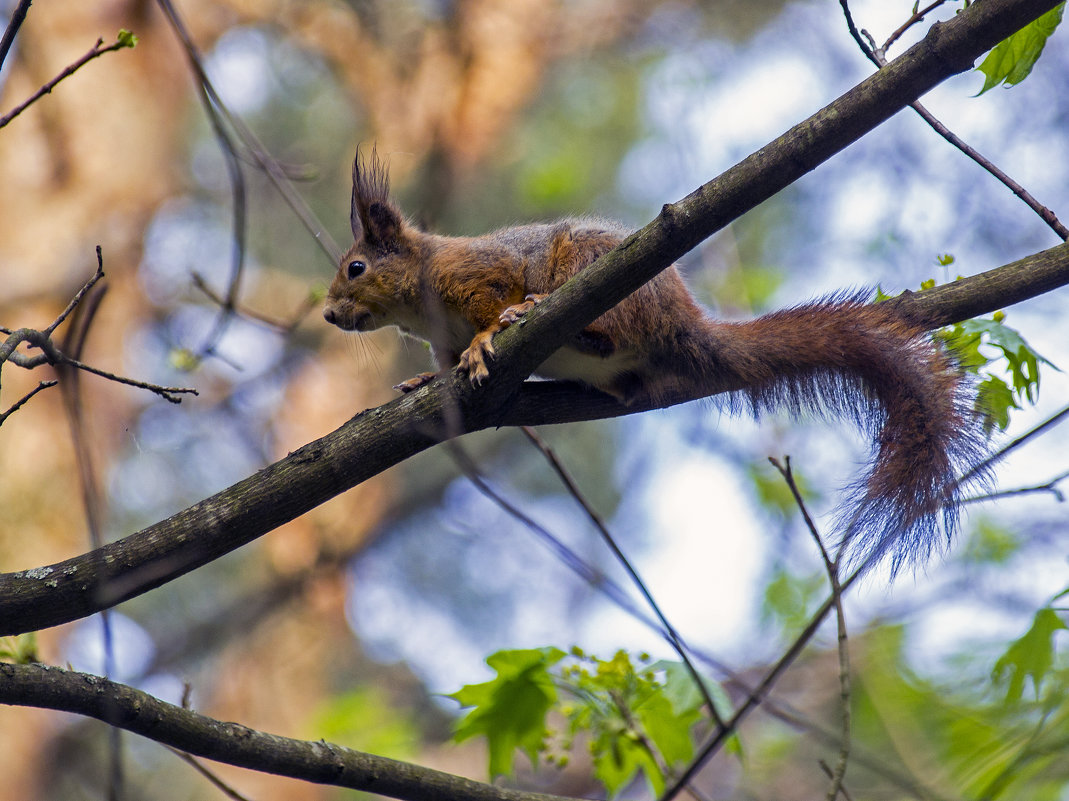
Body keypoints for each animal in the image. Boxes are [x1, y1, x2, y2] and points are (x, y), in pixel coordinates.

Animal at [322, 148, 983, 560]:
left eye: (355, 268)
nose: (328, 315)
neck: (422, 296)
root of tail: (682, 323)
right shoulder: (441, 338)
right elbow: (438, 368)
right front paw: (417, 385)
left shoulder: (481, 272)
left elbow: (494, 300)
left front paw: (490, 337)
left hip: (593, 273)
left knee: (601, 328)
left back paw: (546, 315)